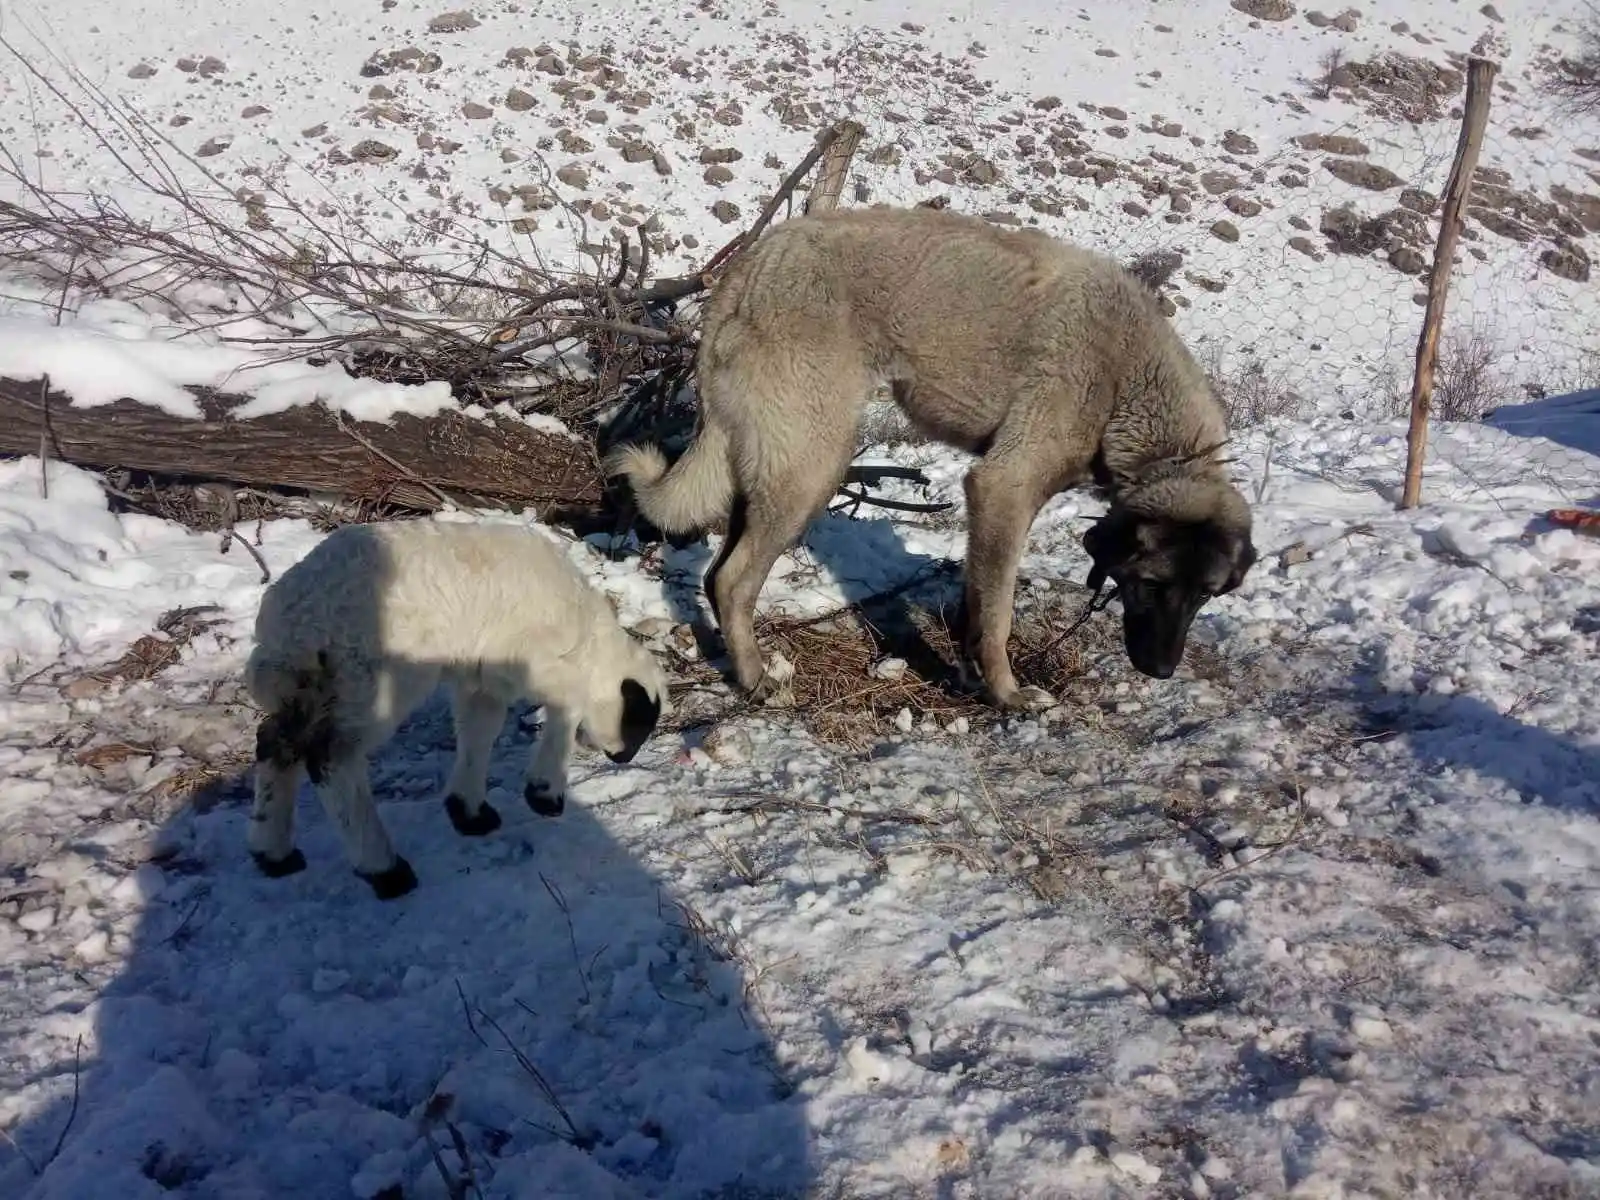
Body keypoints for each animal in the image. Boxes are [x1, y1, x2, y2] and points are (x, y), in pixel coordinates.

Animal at [240, 518, 665, 902]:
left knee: (277, 741)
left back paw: (273, 853)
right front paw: (544, 792)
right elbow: (564, 708)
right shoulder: (531, 662)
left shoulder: (484, 675)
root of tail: (295, 619)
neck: (587, 638)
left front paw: (468, 811)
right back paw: (385, 869)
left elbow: (481, 729)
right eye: (637, 722)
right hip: (368, 679)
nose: (625, 758)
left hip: (309, 687)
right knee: (331, 758)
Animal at [604, 206, 1254, 713]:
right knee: (733, 580)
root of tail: (746, 270)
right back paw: (758, 681)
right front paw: (1007, 695)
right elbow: (997, 615)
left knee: (717, 574)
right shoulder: (1004, 488)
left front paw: (969, 678)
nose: (1162, 672)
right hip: (813, 467)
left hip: (771, 466)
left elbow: (975, 605)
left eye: (1205, 595)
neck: (1128, 385)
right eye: (1150, 584)